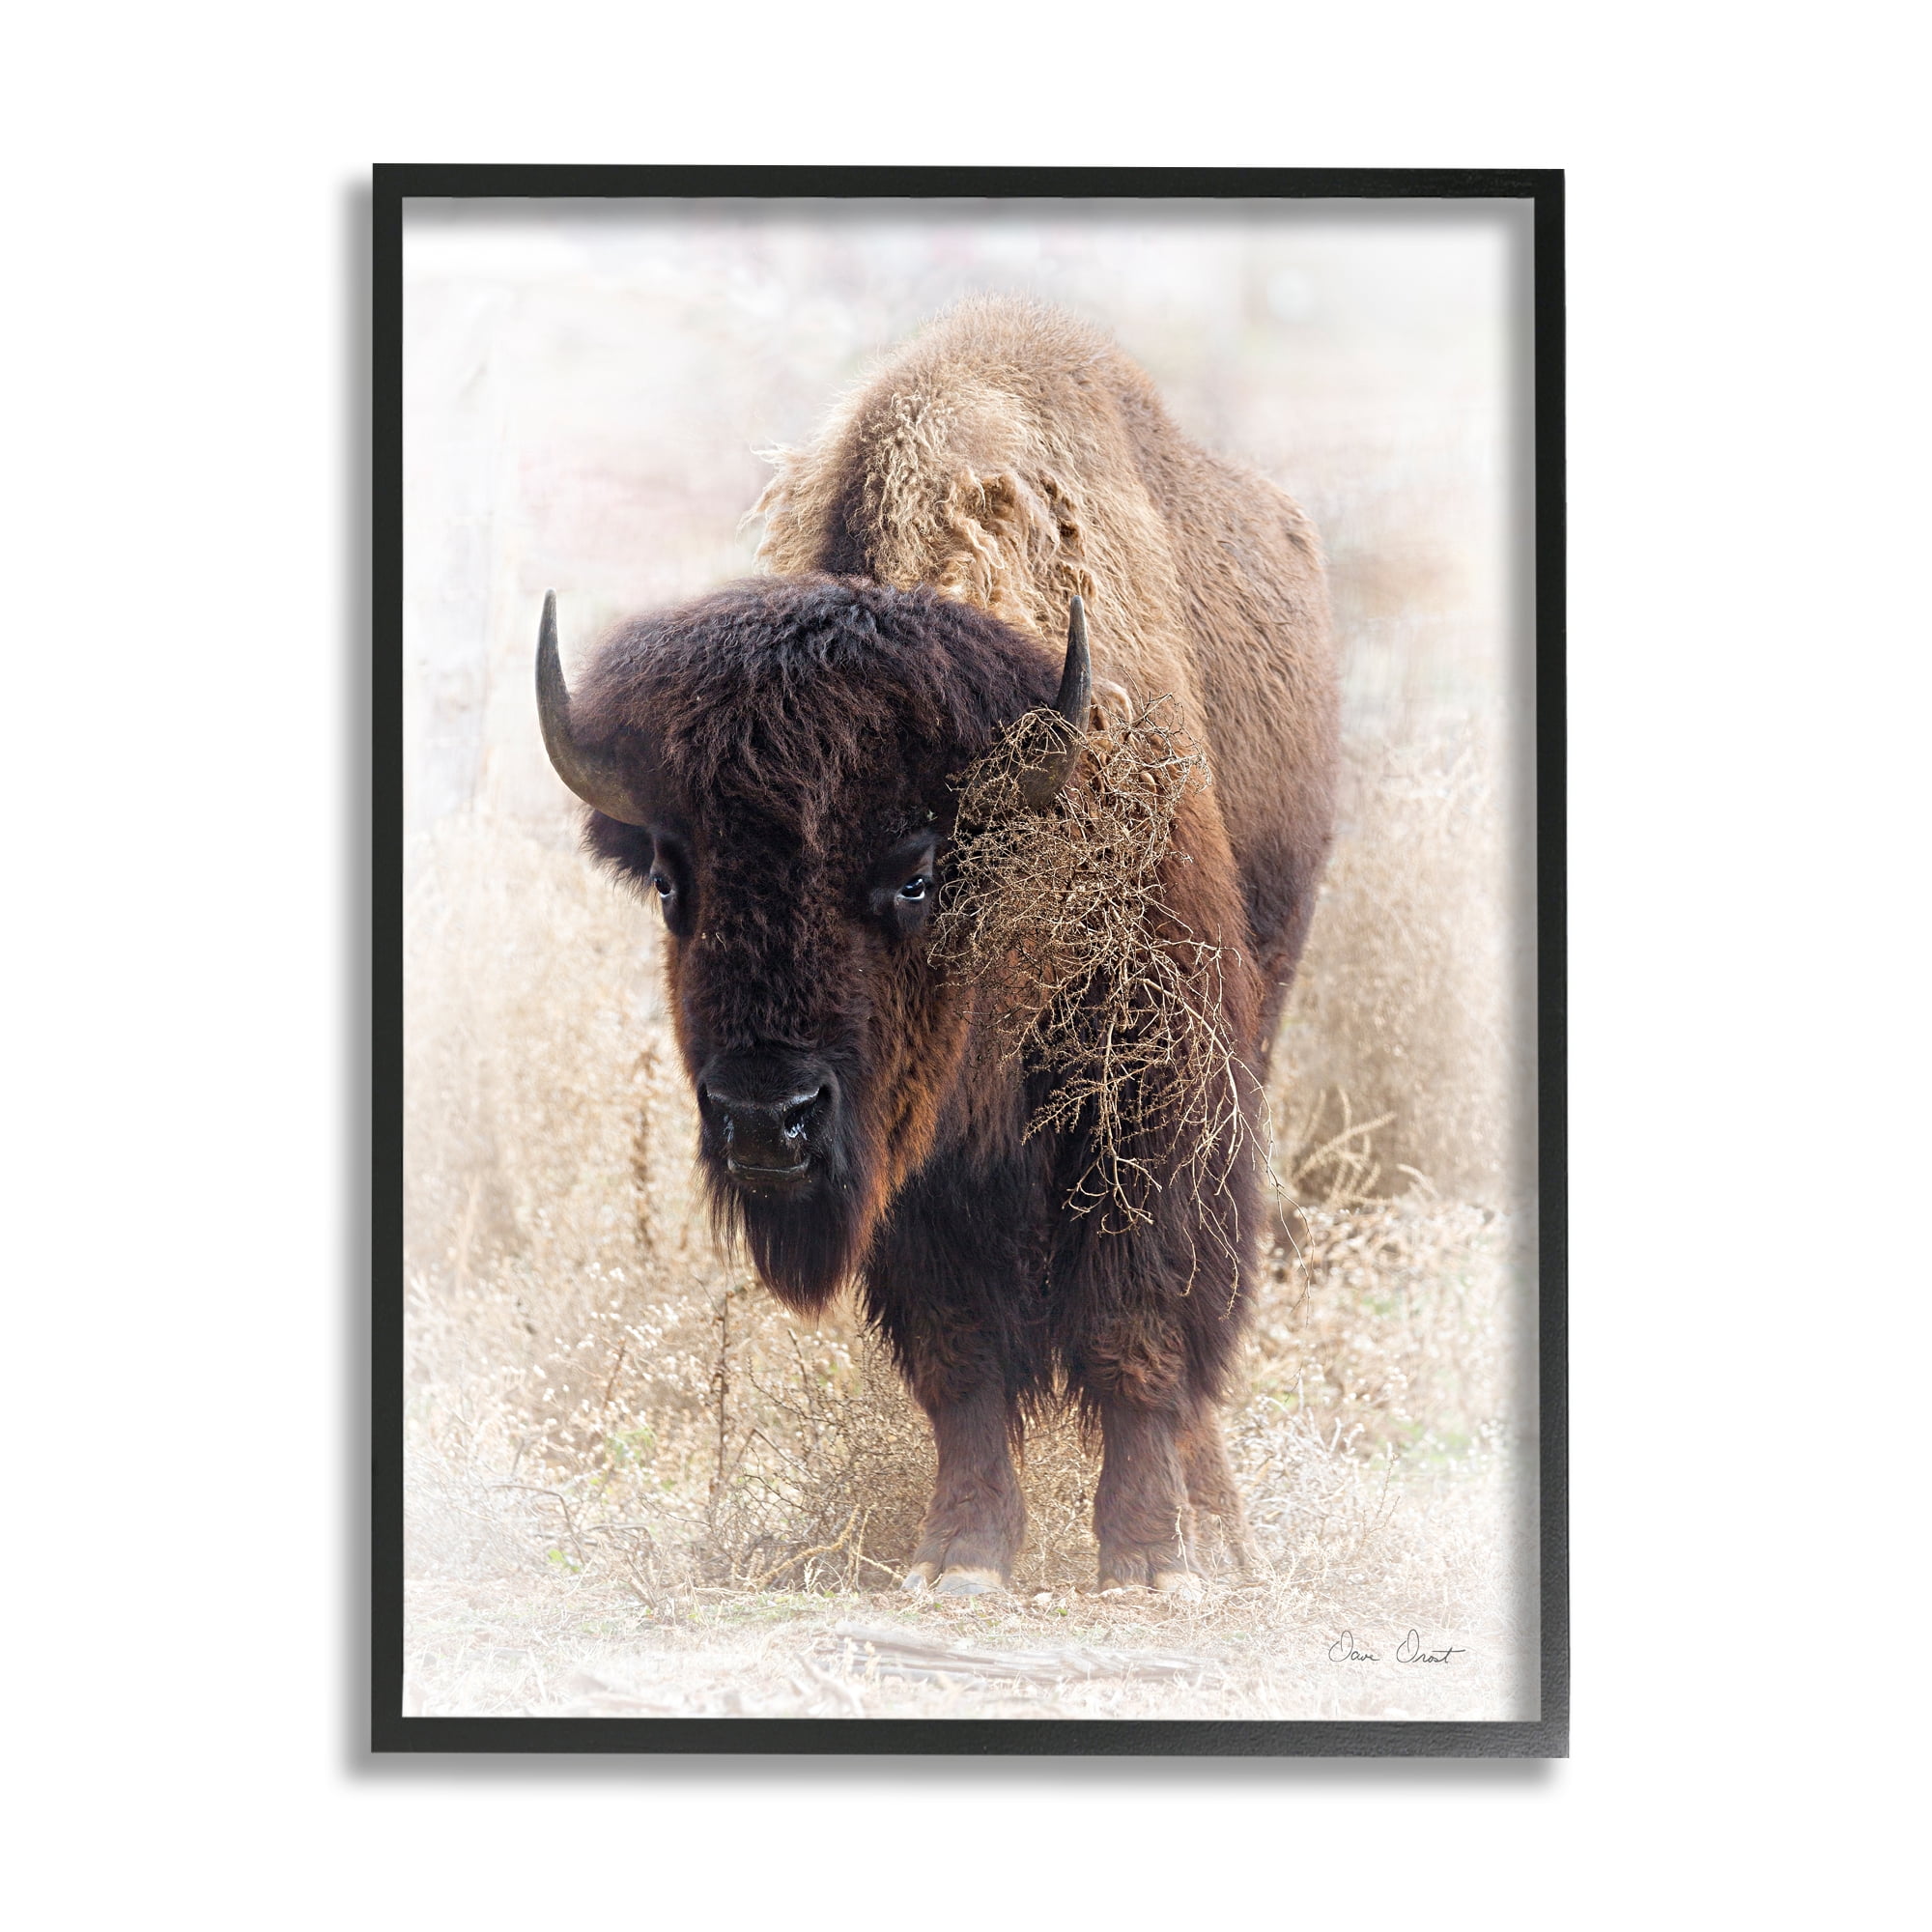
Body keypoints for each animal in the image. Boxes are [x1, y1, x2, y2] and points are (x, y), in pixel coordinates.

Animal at [536, 298, 1338, 1596]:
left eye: (915, 872)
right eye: (669, 880)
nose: (765, 1118)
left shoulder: (1152, 1100)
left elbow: (1137, 1323)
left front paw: (1145, 1557)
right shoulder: (917, 1166)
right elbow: (959, 1352)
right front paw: (961, 1551)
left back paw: (1217, 1530)